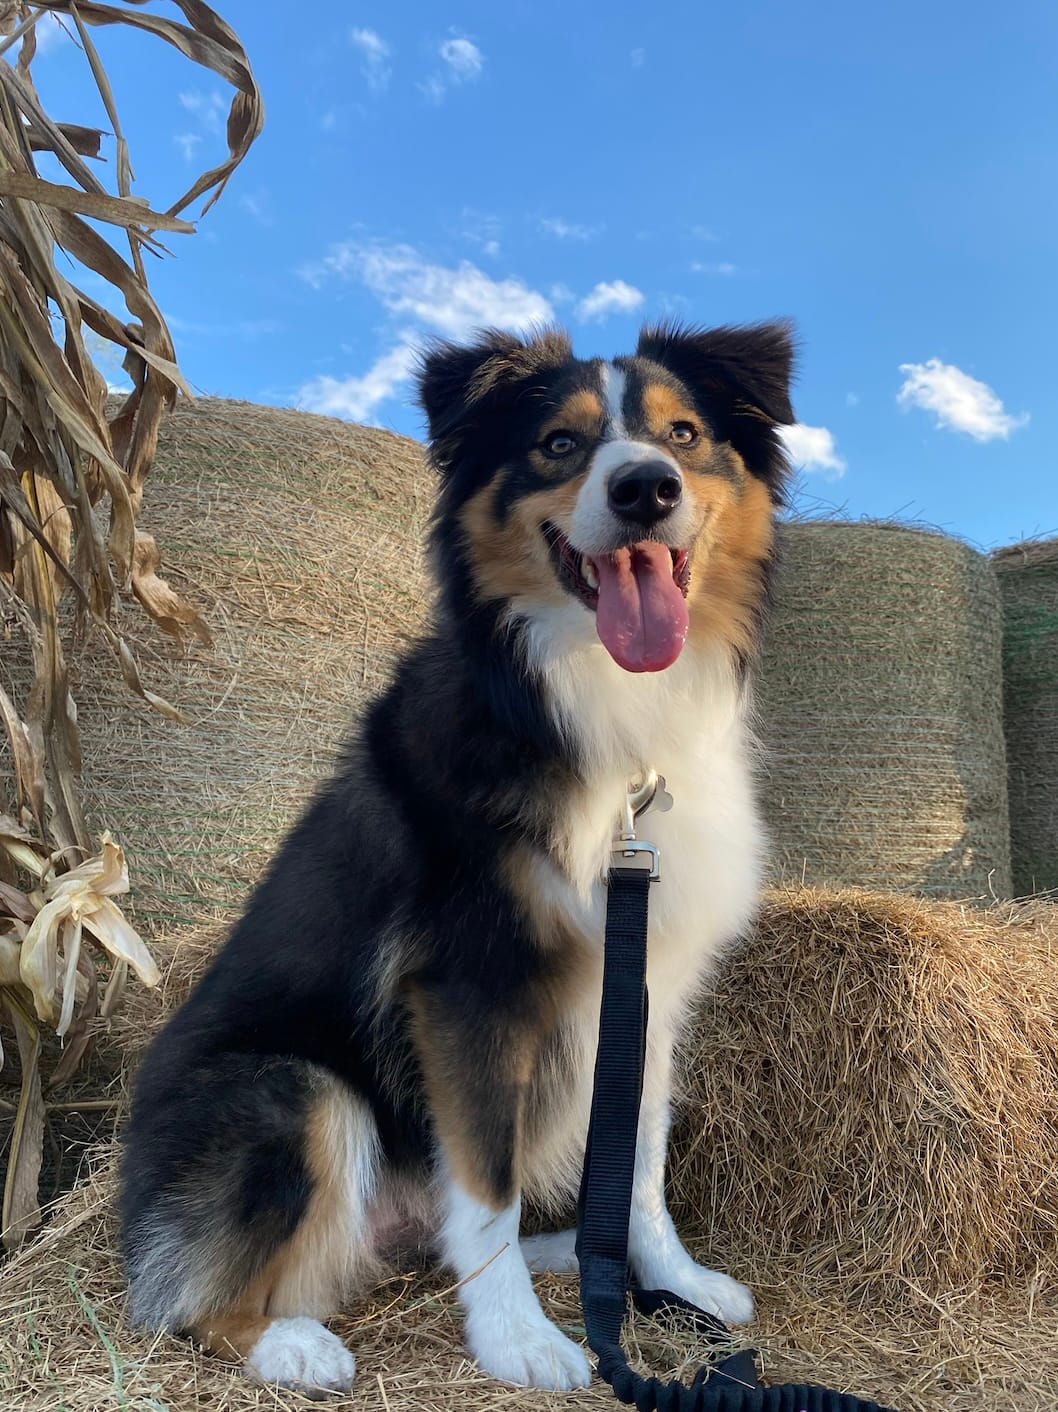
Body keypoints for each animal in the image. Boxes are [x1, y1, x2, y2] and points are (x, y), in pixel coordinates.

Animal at [117, 317, 791, 1389]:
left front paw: (667, 1277)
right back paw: (292, 1343)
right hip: (290, 1090)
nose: (646, 488)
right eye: (559, 444)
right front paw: (518, 1340)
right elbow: (485, 1185)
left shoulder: (645, 978)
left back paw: (579, 1256)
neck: (594, 703)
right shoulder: (466, 986)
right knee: (188, 1301)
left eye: (682, 434)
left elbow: (638, 1158)